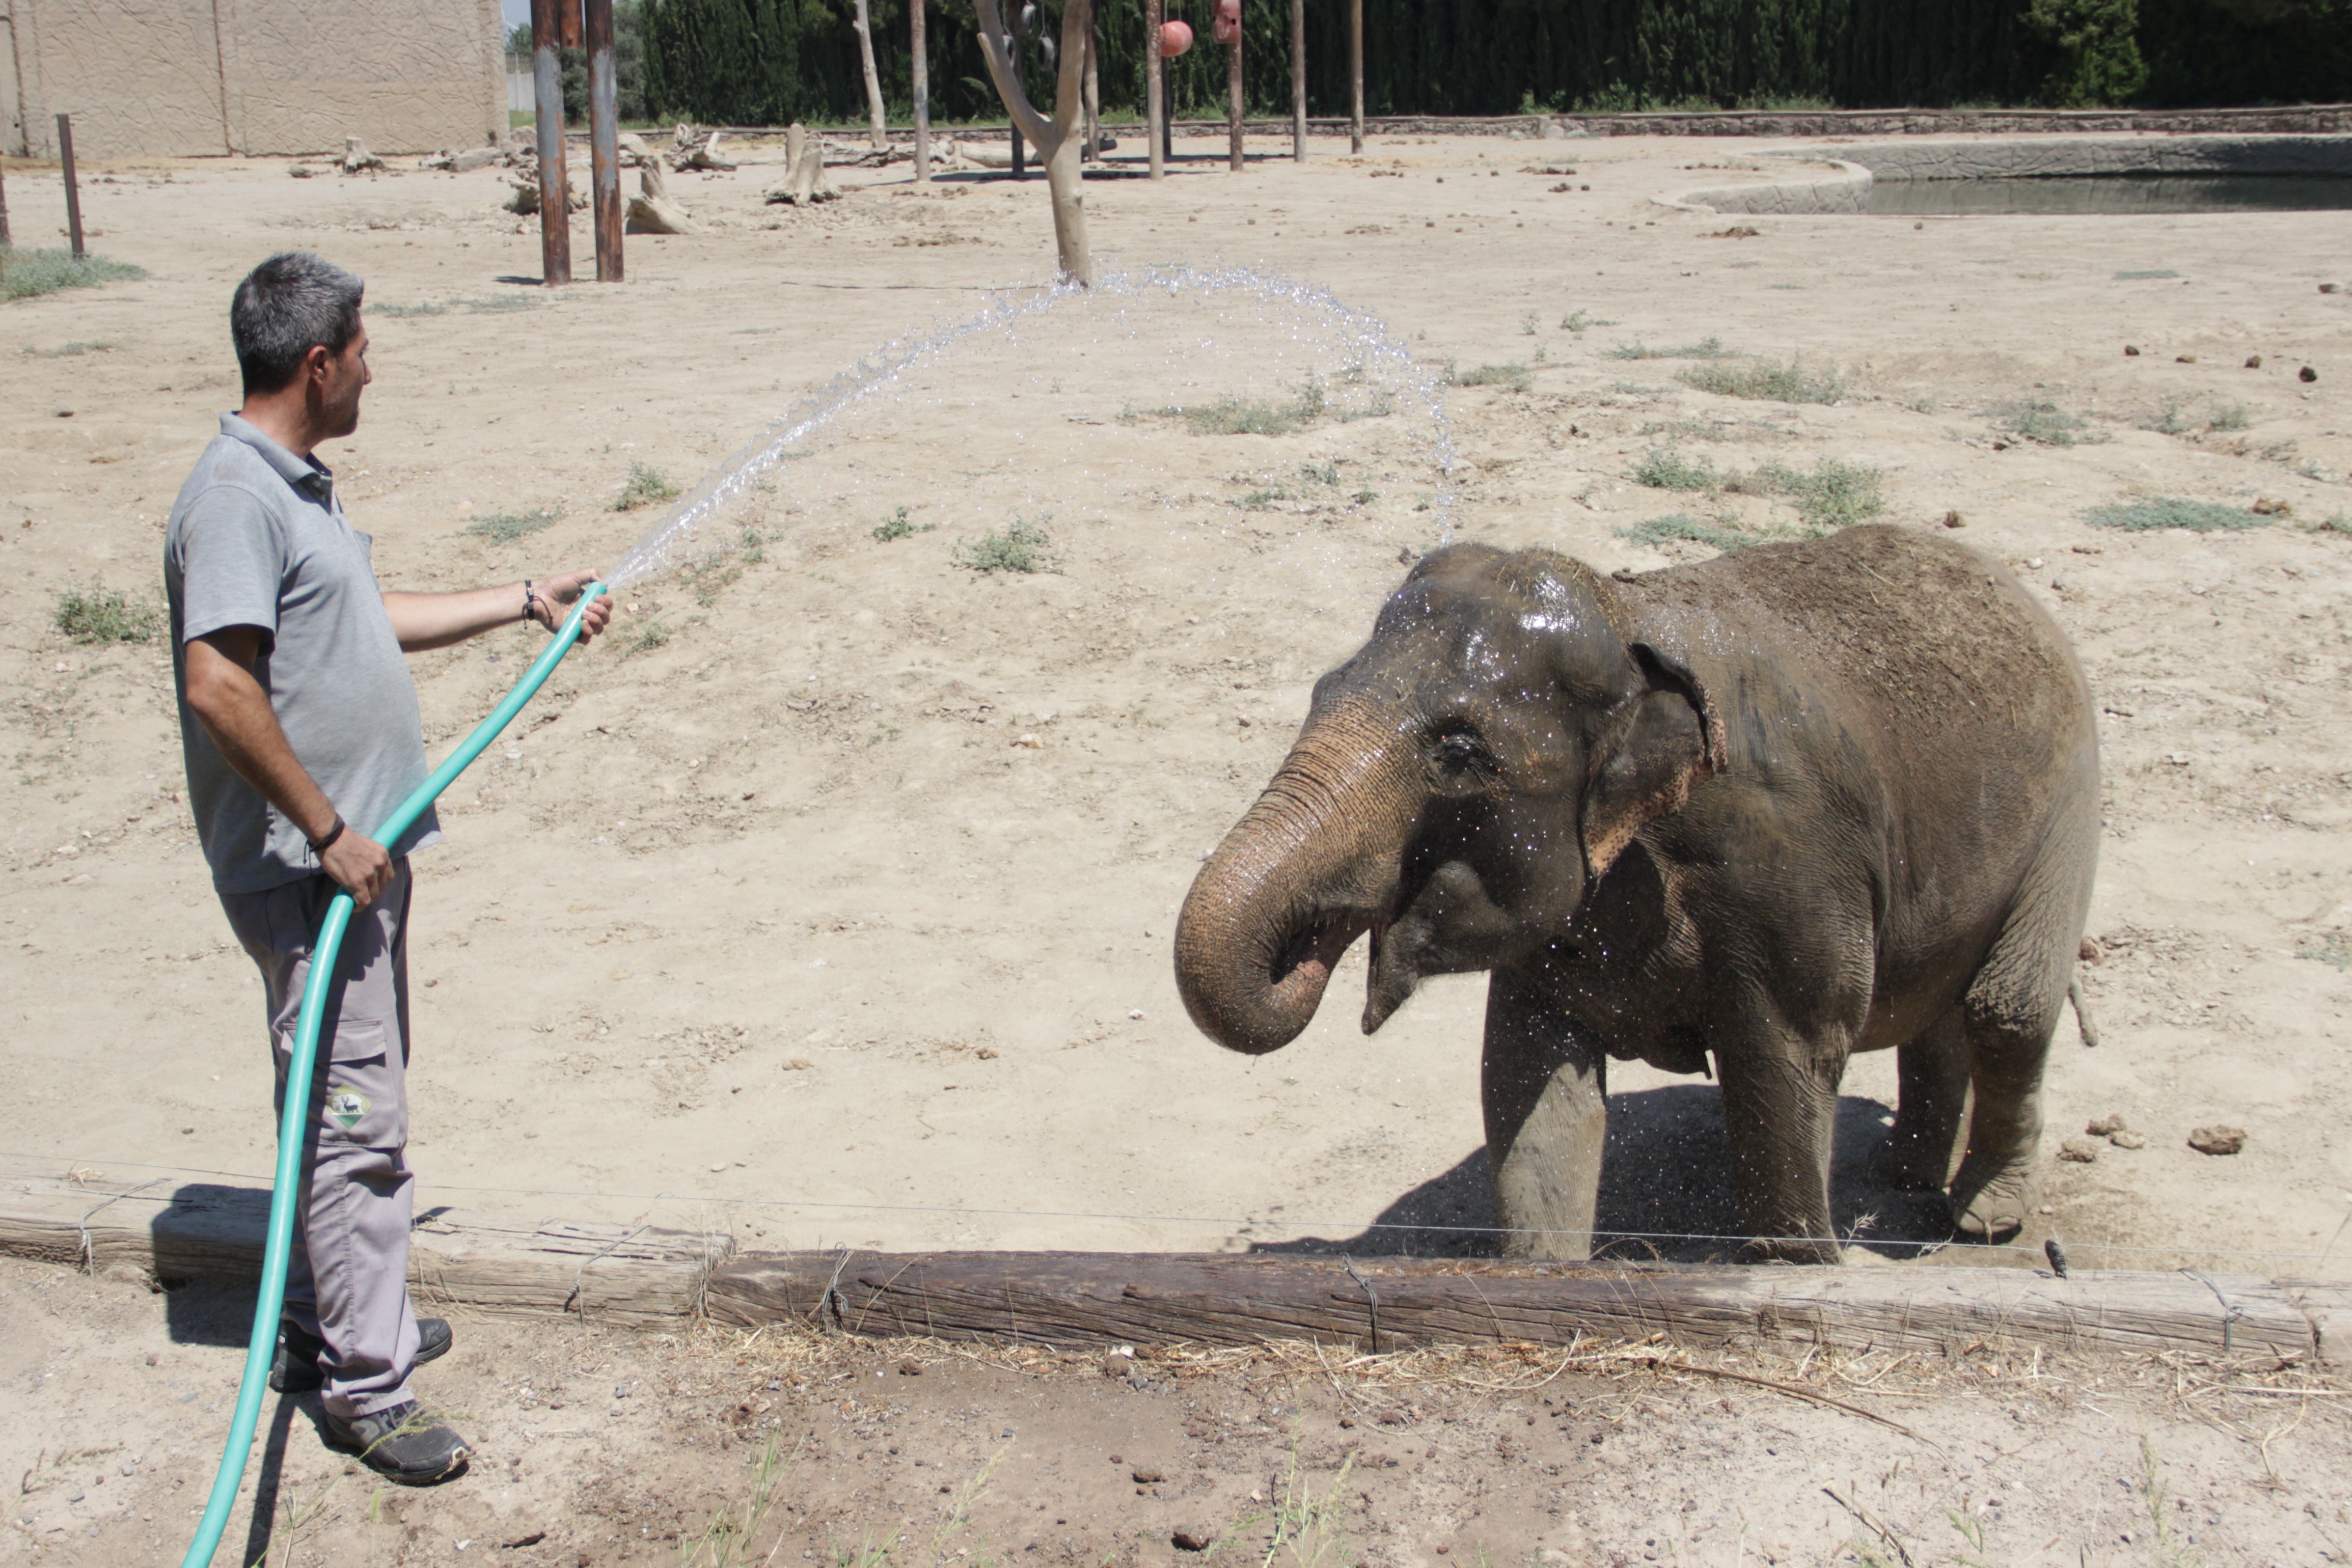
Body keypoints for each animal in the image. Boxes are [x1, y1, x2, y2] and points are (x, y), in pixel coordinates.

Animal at [1171, 527, 2098, 1260]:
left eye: (1460, 752)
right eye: (1320, 692)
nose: (1315, 936)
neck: (1631, 618)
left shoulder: (1788, 864)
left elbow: (1785, 1065)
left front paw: (1801, 1265)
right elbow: (1530, 1087)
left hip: (2067, 809)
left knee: (2005, 1008)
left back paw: (1983, 1217)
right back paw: (1900, 1172)